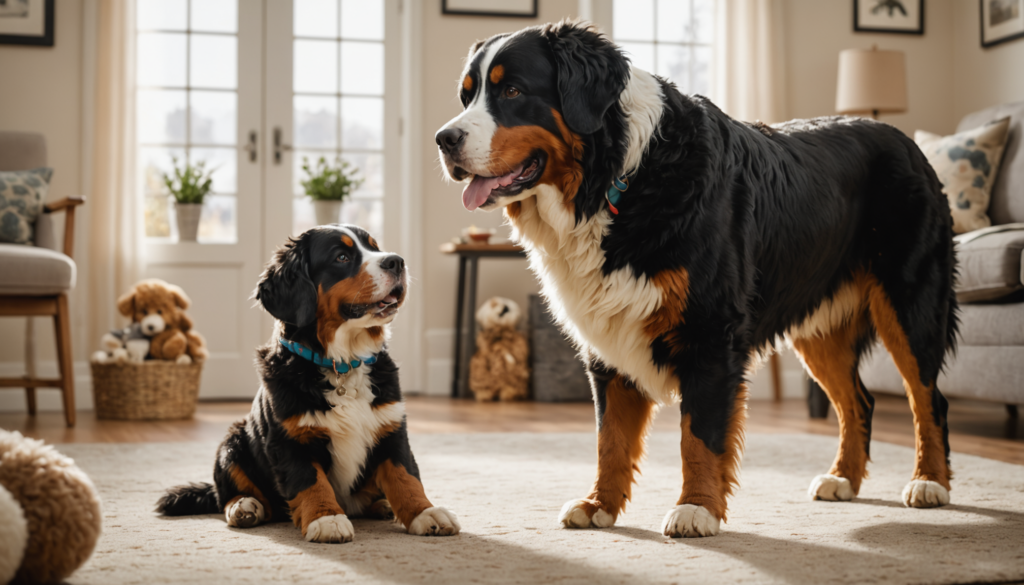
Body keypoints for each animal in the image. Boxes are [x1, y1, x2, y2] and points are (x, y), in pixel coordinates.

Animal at [156, 225, 460, 545]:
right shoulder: (290, 438)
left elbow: (405, 475)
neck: (343, 363)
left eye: (375, 247)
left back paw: (383, 504)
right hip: (232, 442)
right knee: (227, 495)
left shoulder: (391, 427)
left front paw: (425, 513)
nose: (397, 262)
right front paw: (326, 519)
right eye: (341, 257)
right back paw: (244, 507)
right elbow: (310, 481)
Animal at [434, 20, 958, 536]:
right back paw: (843, 478)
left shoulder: (711, 332)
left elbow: (699, 435)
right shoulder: (606, 334)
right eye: (466, 96)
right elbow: (610, 437)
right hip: (819, 326)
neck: (616, 183)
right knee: (858, 402)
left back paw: (929, 482)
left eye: (513, 90)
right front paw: (599, 504)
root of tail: (904, 139)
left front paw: (696, 508)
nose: (444, 139)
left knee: (927, 398)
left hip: (909, 305)